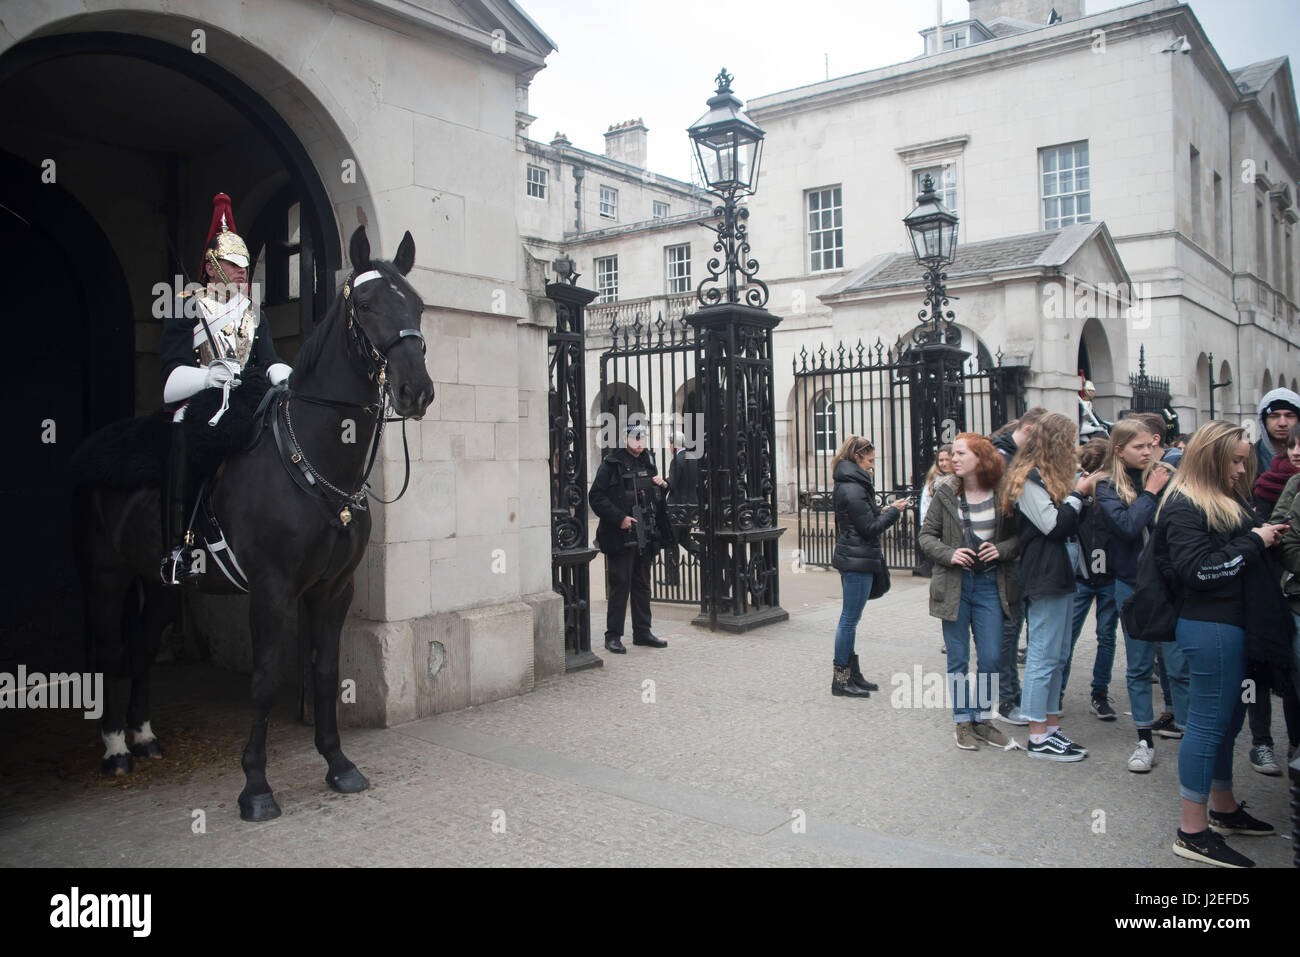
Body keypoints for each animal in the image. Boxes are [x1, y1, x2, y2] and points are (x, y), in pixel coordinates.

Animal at [74, 227, 431, 816]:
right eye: (365, 304)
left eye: (418, 305)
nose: (416, 390)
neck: (312, 460)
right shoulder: (271, 588)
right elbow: (264, 679)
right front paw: (256, 787)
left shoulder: (332, 588)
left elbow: (326, 670)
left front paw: (338, 764)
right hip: (106, 574)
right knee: (107, 650)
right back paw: (115, 749)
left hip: (164, 582)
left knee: (143, 644)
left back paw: (144, 737)